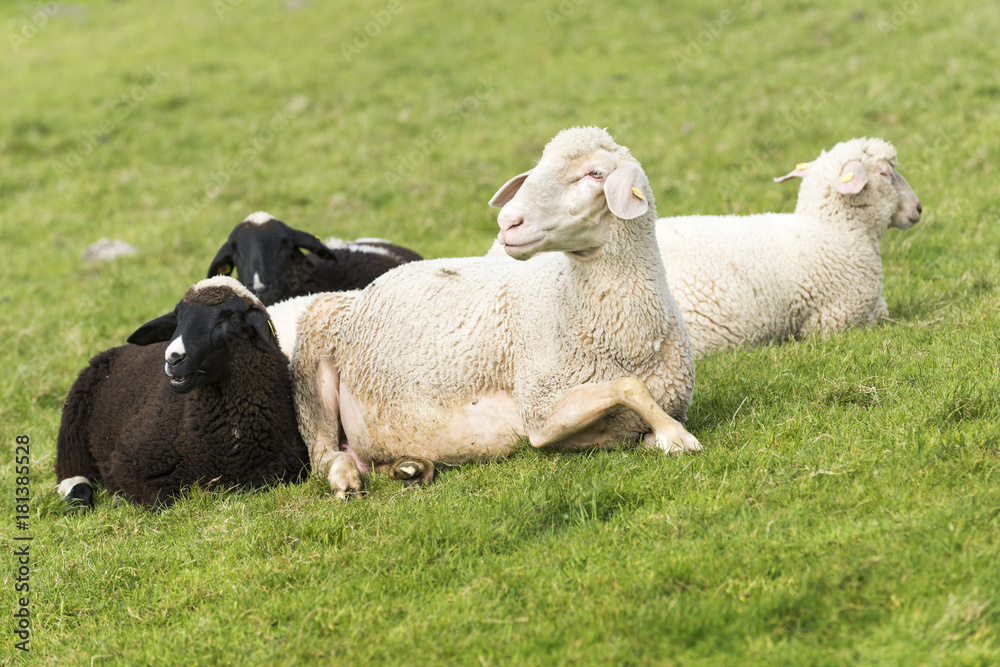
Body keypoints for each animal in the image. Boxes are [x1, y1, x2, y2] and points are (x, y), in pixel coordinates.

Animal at [55, 276, 310, 510]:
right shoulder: (127, 463)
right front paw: (122, 498)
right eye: (178, 317)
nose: (173, 358)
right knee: (71, 476)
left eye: (229, 318)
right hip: (73, 424)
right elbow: (162, 500)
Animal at [290, 126, 700, 498]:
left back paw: (410, 467)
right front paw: (678, 437)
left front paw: (667, 434)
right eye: (535, 169)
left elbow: (637, 402)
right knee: (324, 454)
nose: (508, 222)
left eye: (595, 174)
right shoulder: (539, 408)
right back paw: (346, 478)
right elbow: (627, 386)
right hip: (312, 366)